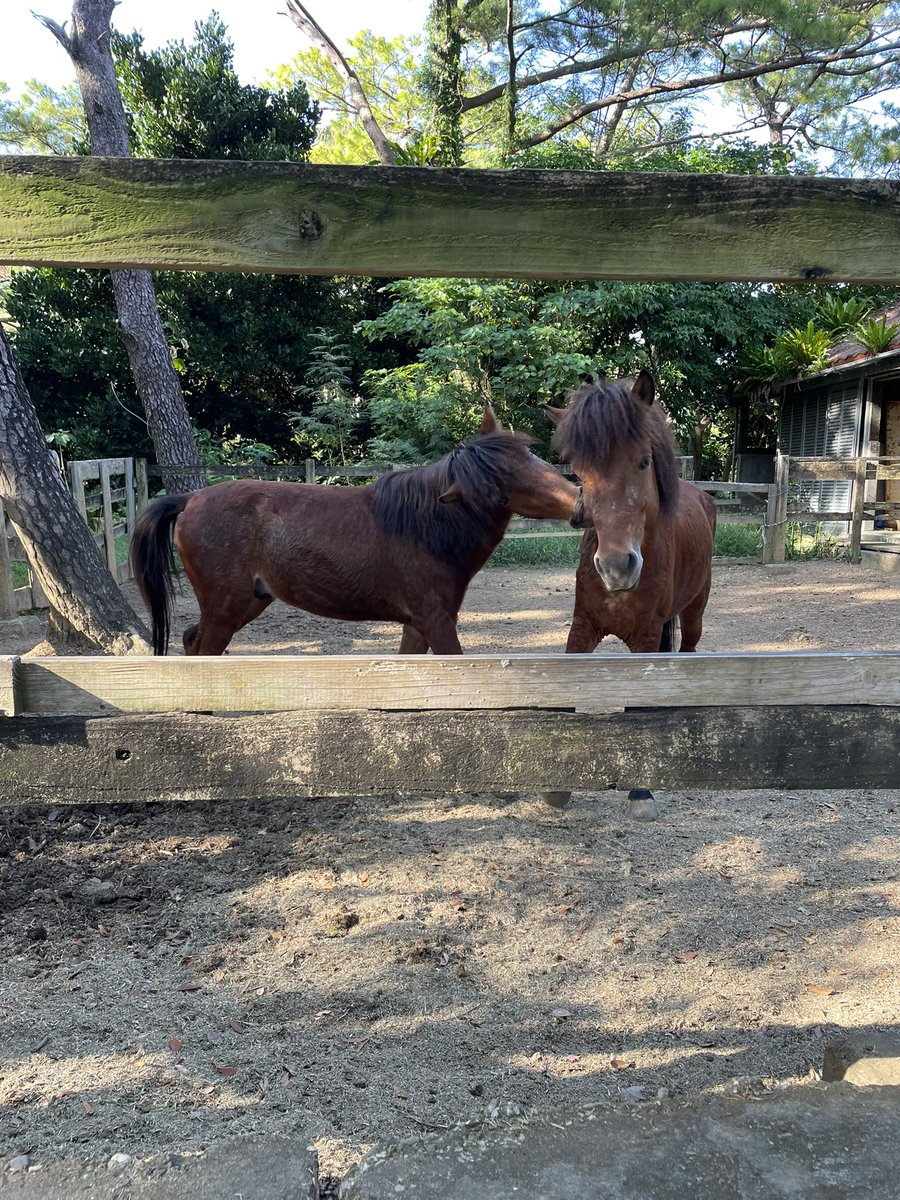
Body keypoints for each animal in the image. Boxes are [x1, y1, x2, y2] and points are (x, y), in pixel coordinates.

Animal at [130, 410, 585, 657]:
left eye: (528, 454)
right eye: (498, 488)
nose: (580, 502)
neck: (424, 527)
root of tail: (191, 498)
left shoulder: (417, 625)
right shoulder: (437, 622)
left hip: (248, 604)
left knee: (193, 644)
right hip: (226, 608)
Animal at [542, 372, 720, 816]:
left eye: (642, 461)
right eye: (578, 472)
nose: (616, 567)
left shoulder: (644, 637)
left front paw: (641, 792)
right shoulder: (582, 628)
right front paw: (556, 788)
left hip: (695, 613)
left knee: (689, 651)